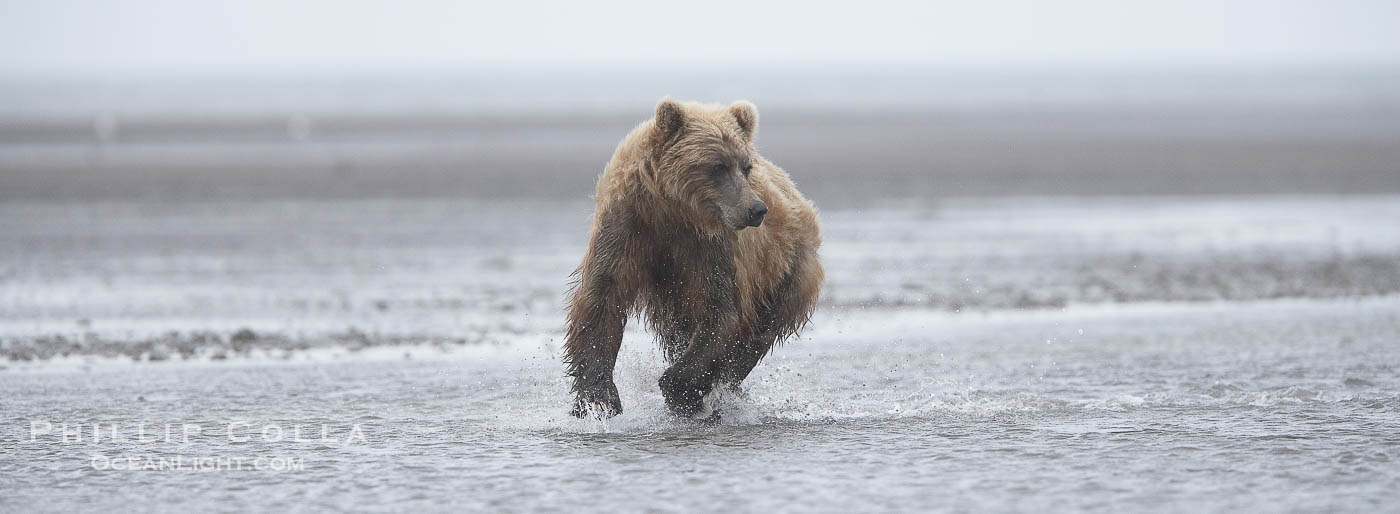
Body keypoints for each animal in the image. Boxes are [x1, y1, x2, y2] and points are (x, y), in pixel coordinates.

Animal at [563, 98, 824, 418]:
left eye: (746, 166)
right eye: (718, 166)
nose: (757, 209)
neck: (671, 212)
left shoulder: (710, 248)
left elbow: (720, 310)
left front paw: (680, 390)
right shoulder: (627, 229)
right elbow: (601, 300)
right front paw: (597, 399)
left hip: (788, 272)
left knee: (757, 335)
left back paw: (724, 386)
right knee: (681, 329)